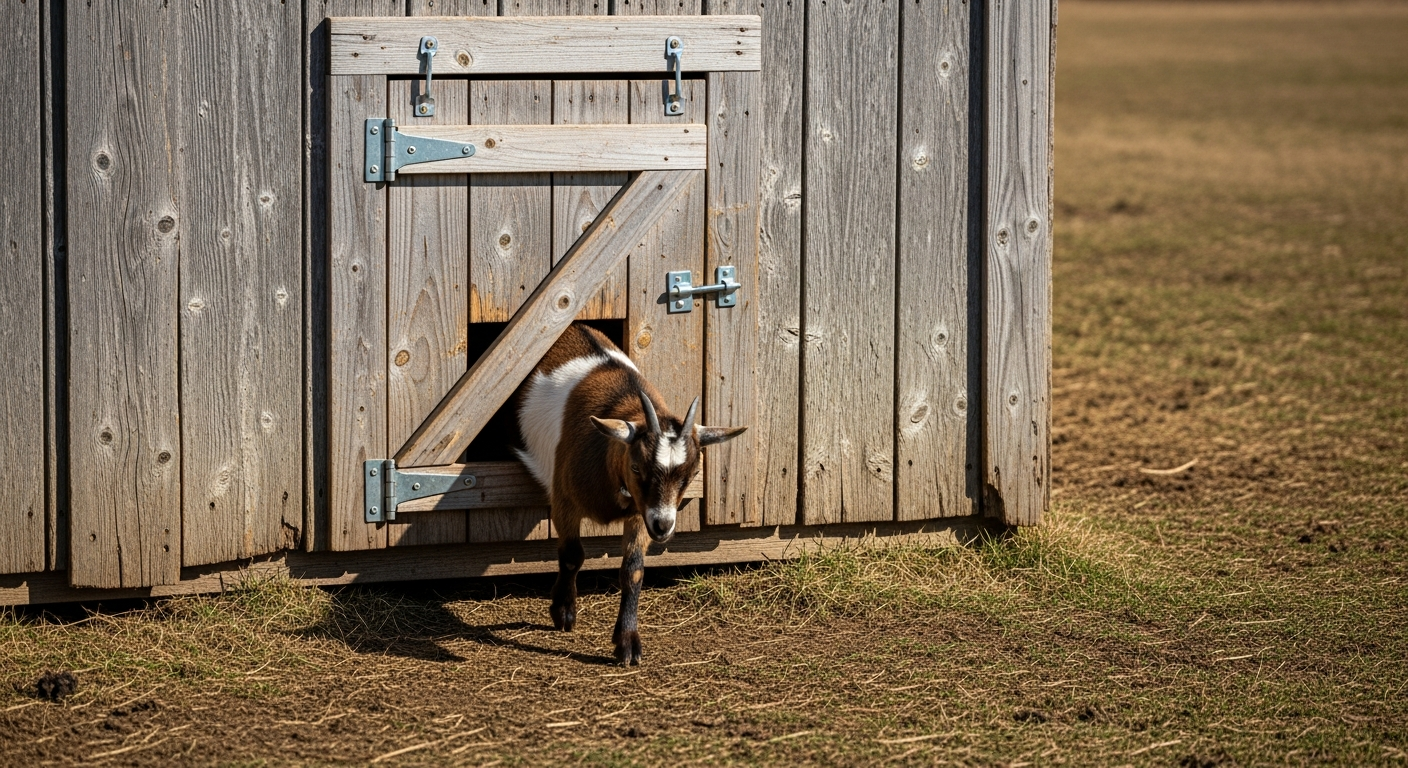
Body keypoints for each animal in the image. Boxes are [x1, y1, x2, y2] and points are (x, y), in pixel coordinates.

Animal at [514, 324, 746, 665]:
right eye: (636, 467)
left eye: (691, 475)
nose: (663, 526)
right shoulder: (564, 501)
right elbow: (572, 556)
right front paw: (563, 612)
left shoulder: (640, 512)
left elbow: (633, 570)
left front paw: (627, 642)